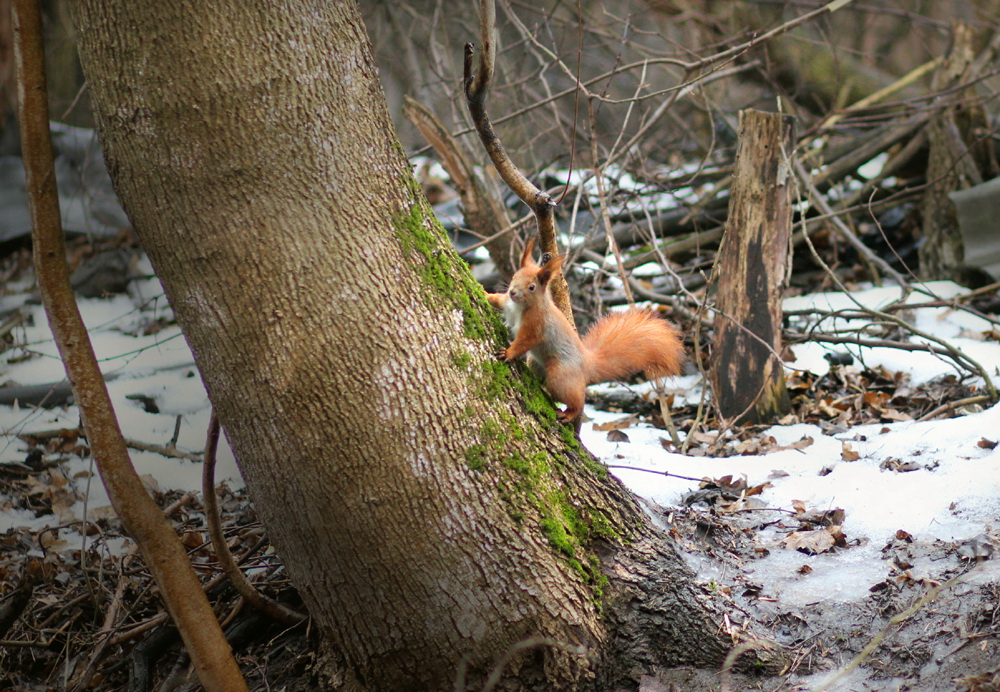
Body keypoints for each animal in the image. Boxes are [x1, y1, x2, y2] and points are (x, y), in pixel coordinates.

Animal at [486, 238, 688, 422]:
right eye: (514, 277)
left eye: (531, 287)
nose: (512, 292)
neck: (520, 307)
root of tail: (588, 365)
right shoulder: (507, 304)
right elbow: (498, 300)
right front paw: (486, 294)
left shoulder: (536, 325)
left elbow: (524, 341)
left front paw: (509, 353)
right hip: (536, 363)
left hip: (560, 376)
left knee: (575, 399)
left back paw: (569, 414)